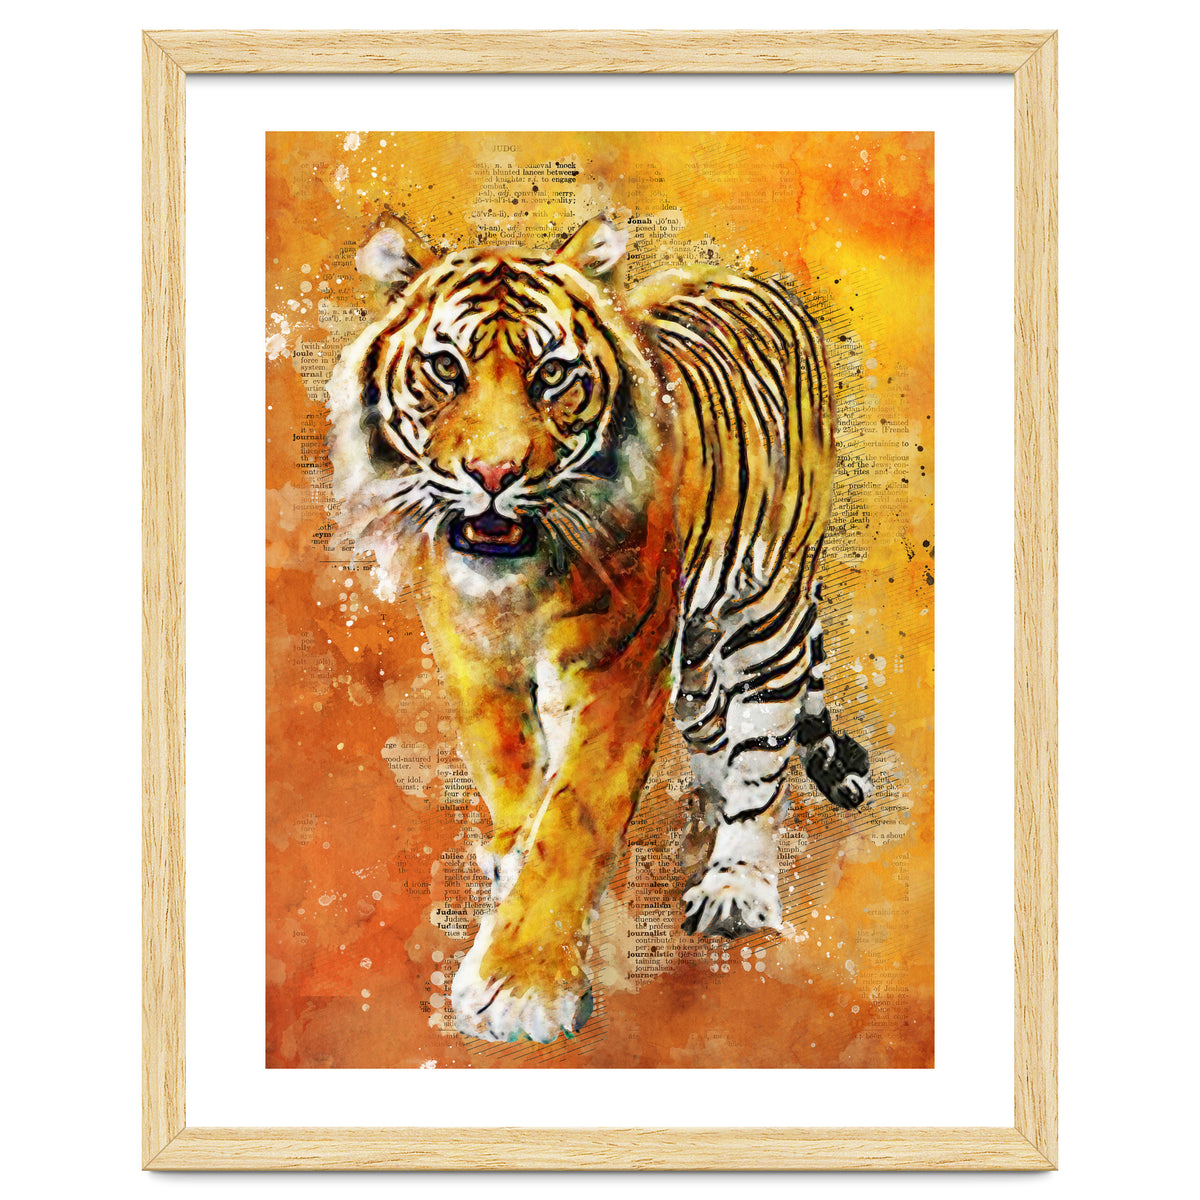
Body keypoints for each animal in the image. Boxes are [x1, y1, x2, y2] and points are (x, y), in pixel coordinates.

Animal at [325, 211, 870, 1044]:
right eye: (446, 368)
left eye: (552, 375)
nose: (493, 475)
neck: (519, 583)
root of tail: (753, 276)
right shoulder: (472, 650)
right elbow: (510, 769)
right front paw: (512, 856)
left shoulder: (622, 666)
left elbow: (576, 817)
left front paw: (521, 984)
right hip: (698, 651)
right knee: (714, 729)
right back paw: (703, 814)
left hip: (765, 611)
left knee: (763, 752)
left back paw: (735, 882)